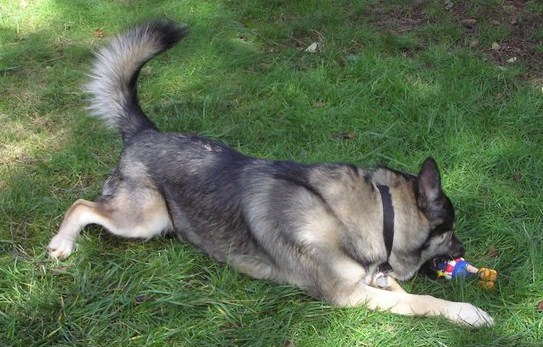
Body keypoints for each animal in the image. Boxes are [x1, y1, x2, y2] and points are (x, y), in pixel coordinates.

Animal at [49, 20, 496, 328]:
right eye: (449, 231)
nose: (463, 249)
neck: (371, 216)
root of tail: (145, 131)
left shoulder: (373, 281)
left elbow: (400, 287)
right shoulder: (348, 293)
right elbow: (420, 300)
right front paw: (468, 312)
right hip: (144, 219)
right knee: (82, 205)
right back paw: (62, 243)